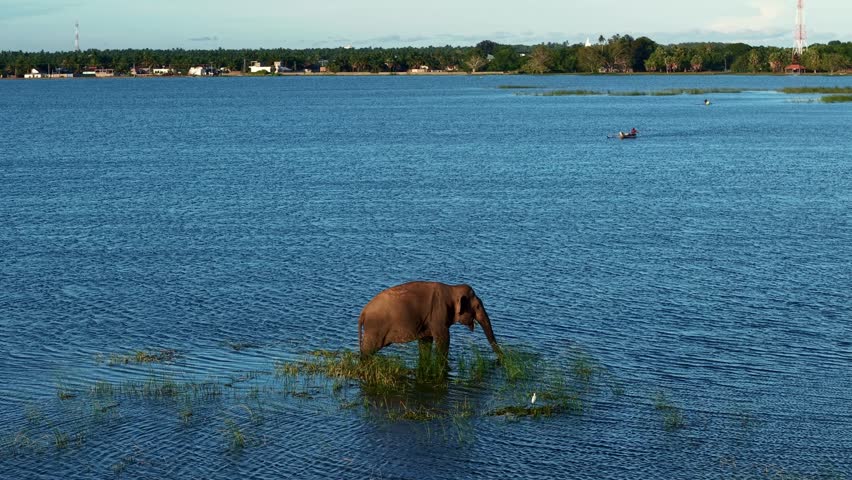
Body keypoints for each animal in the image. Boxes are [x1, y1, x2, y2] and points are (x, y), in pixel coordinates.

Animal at [358, 281, 502, 360]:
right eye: (477, 306)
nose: (502, 358)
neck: (452, 288)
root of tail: (363, 313)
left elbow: (425, 342)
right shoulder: (438, 315)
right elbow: (444, 340)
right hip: (374, 329)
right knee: (367, 351)